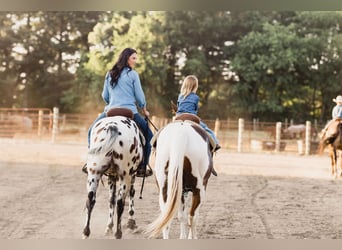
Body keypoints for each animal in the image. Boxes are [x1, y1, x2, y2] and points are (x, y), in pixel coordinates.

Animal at [83, 108, 144, 239]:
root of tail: (113, 126)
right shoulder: (131, 175)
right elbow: (130, 194)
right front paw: (131, 222)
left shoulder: (111, 176)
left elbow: (111, 200)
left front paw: (109, 227)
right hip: (125, 176)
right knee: (120, 203)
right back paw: (118, 233)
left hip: (94, 173)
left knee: (90, 199)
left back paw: (86, 232)